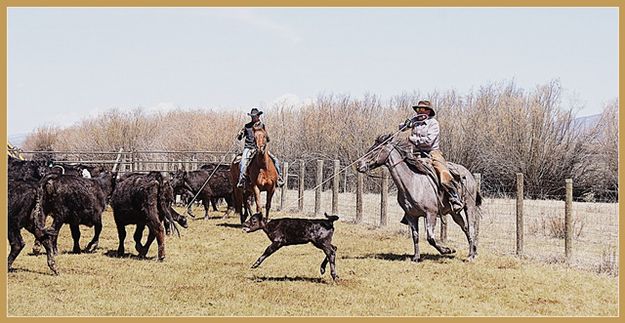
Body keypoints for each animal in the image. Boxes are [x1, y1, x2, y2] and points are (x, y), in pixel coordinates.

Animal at [356, 134, 482, 264]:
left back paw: (471, 256)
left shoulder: (431, 214)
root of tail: (469, 174)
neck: (413, 182)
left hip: (469, 206)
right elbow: (415, 236)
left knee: (471, 227)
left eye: (376, 149)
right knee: (465, 227)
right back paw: (473, 251)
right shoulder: (411, 216)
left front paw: (447, 250)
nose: (358, 164)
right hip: (454, 213)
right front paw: (416, 257)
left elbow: (430, 238)